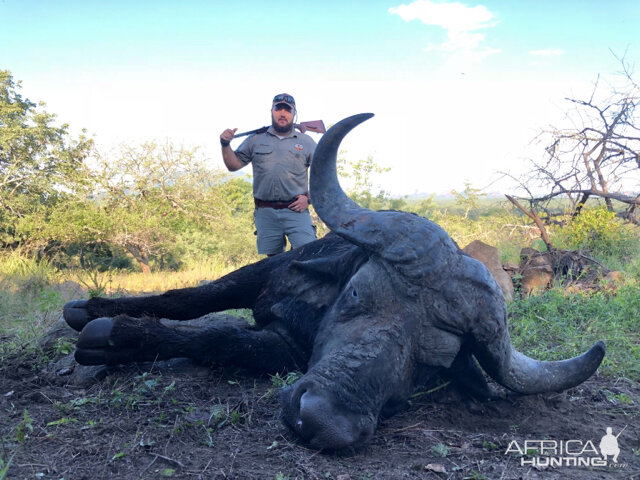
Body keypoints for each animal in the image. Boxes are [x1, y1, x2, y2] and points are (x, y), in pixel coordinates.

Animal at [61, 113, 604, 450]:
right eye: (358, 293)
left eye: (435, 362)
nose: (322, 419)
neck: (310, 310)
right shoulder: (265, 273)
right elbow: (193, 296)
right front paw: (93, 311)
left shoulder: (283, 349)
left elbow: (222, 336)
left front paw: (116, 336)